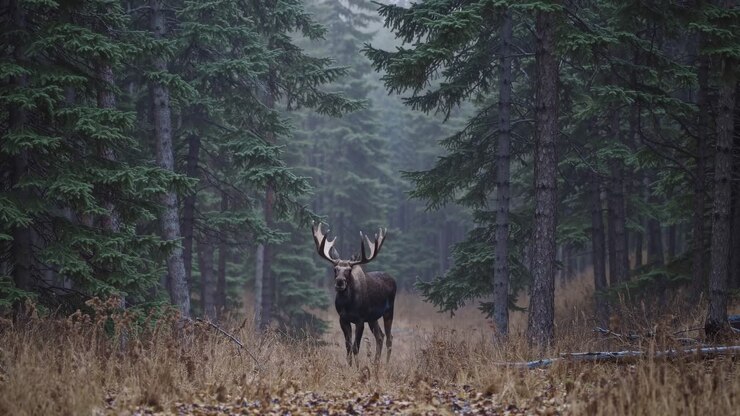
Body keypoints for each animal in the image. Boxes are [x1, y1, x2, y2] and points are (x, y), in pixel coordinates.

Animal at [312, 223, 396, 366]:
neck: (348, 304)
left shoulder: (360, 319)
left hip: (389, 311)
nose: (340, 282)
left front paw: (357, 368)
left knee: (389, 337)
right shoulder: (343, 319)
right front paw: (349, 366)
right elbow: (348, 346)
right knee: (380, 336)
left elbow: (356, 346)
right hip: (372, 317)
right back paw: (375, 364)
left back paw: (385, 364)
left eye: (349, 270)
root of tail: (393, 279)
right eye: (335, 269)